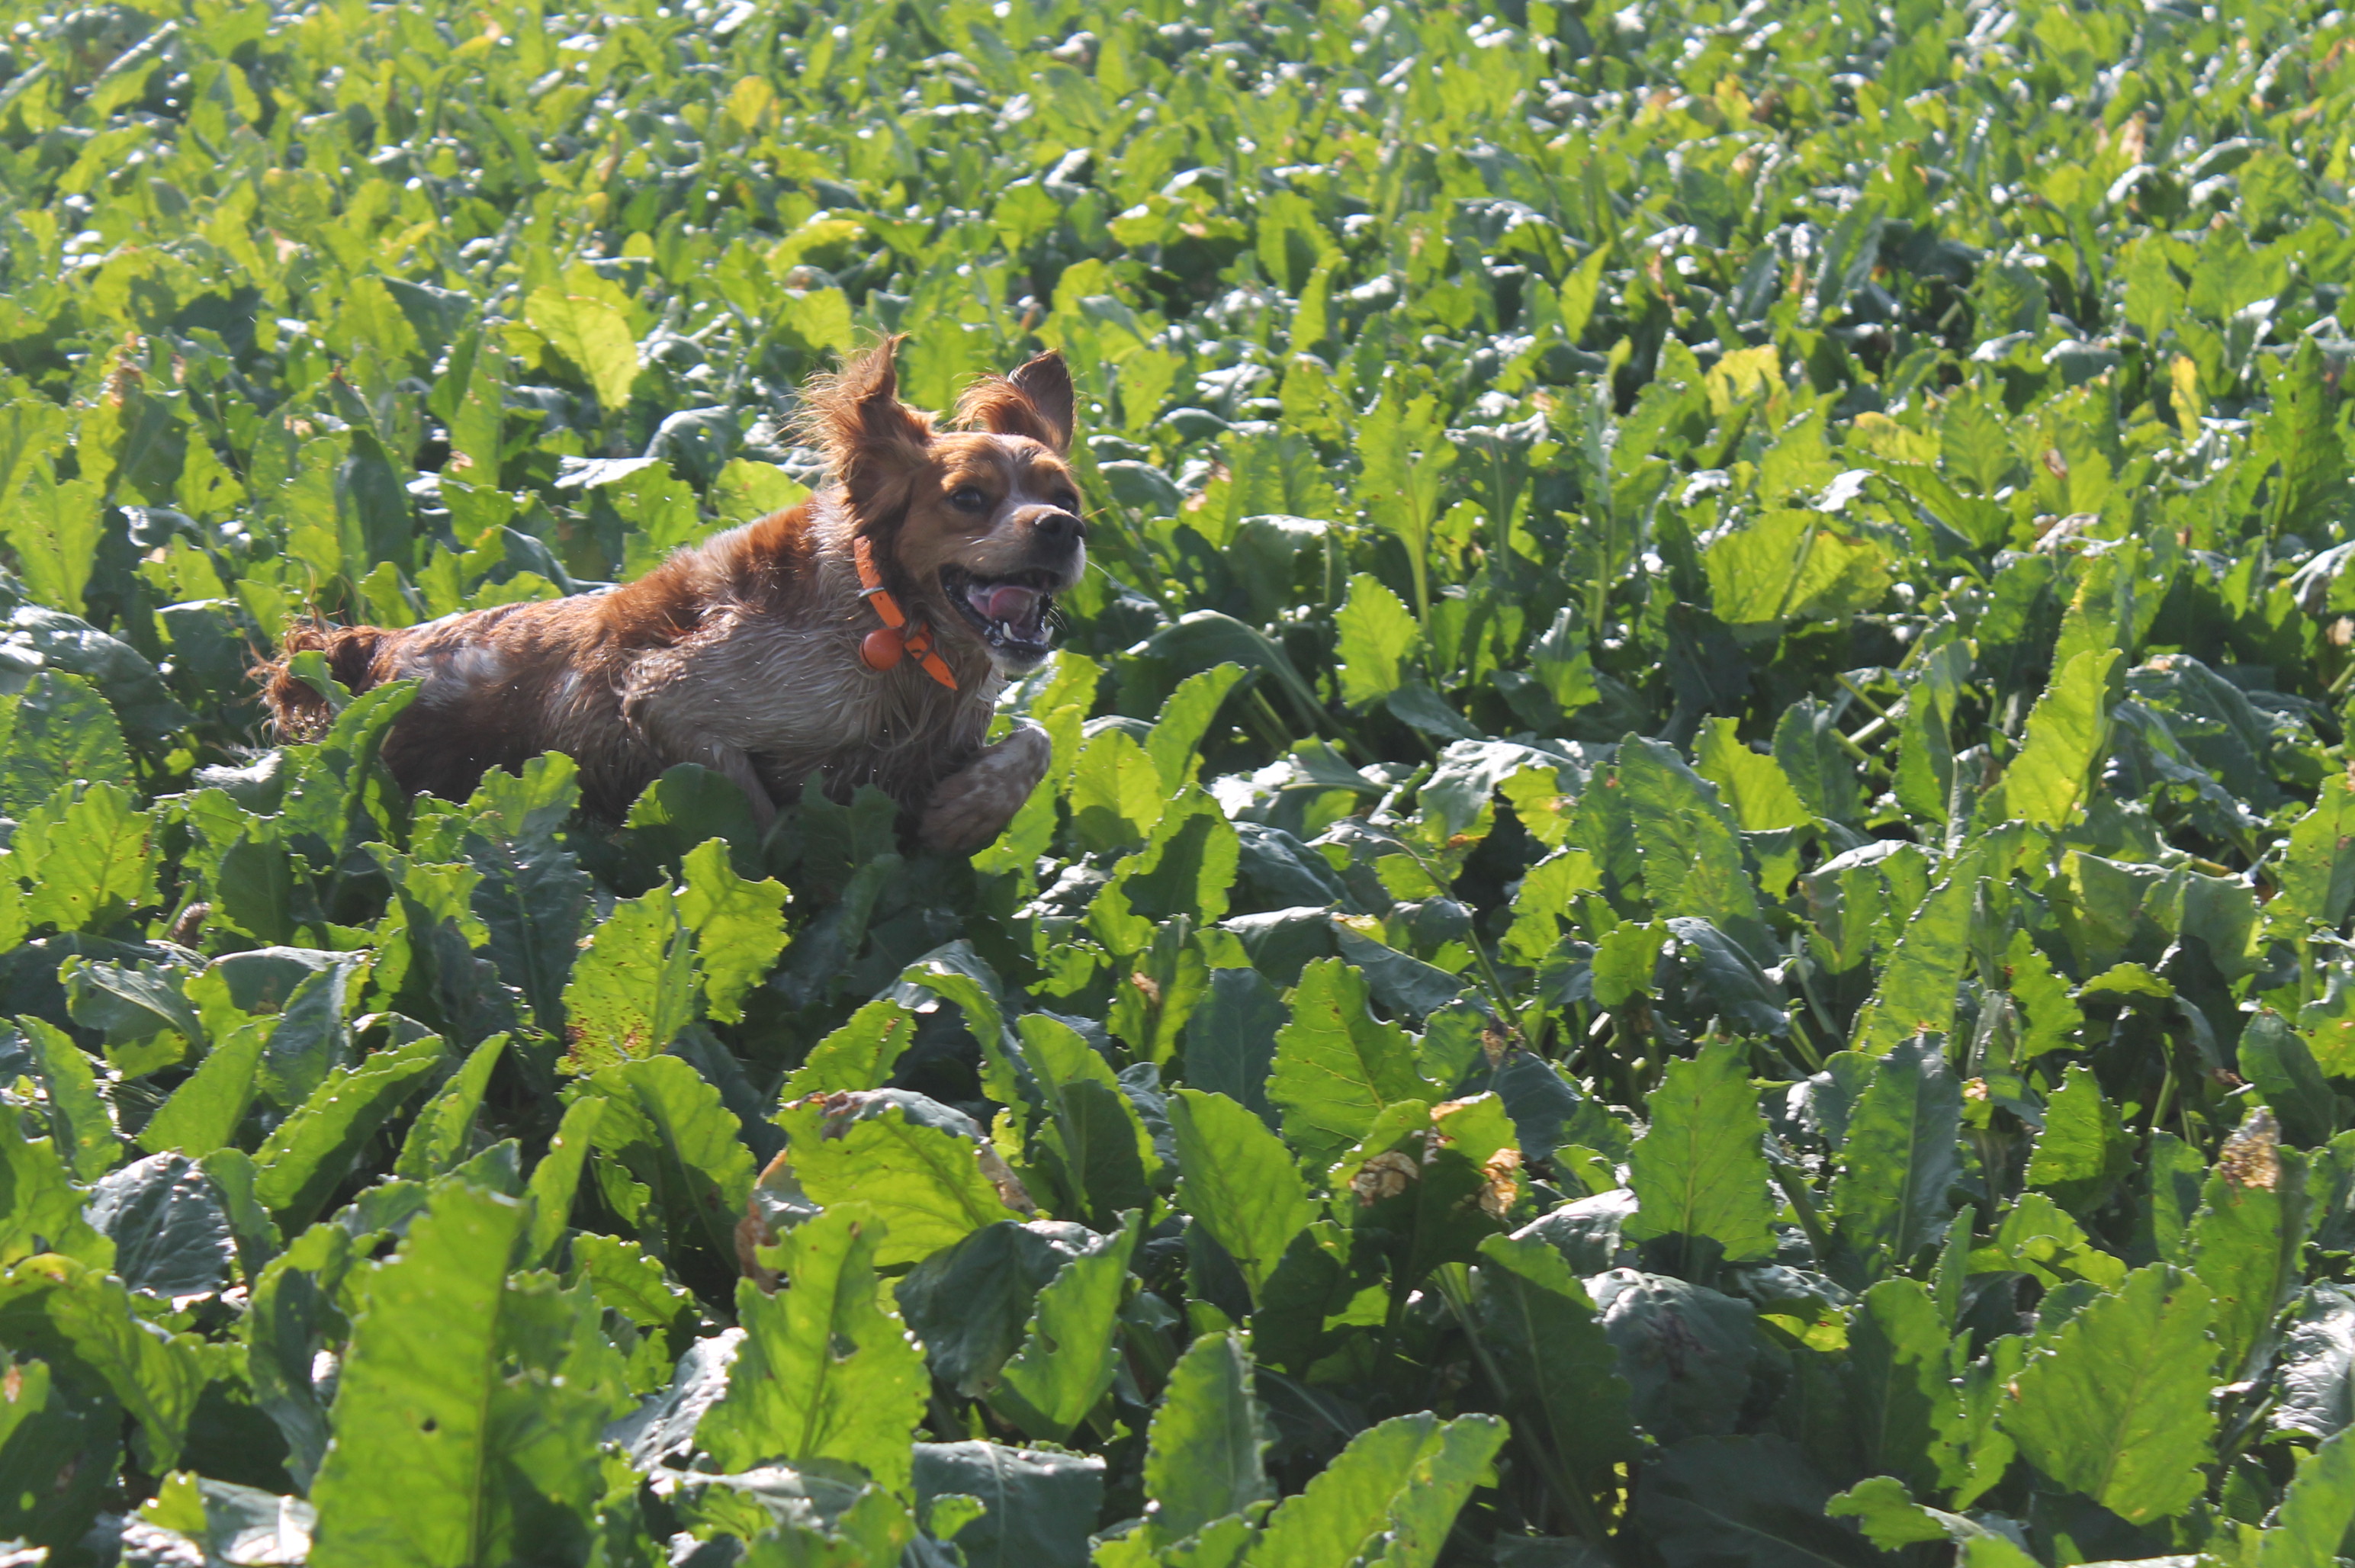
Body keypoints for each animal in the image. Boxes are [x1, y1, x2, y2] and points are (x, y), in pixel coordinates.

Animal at [258, 336, 1083, 847]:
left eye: (1066, 496)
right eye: (969, 498)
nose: (1060, 531)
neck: (891, 626)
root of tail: (374, 650)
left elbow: (1038, 742)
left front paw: (965, 814)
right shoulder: (672, 698)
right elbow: (755, 817)